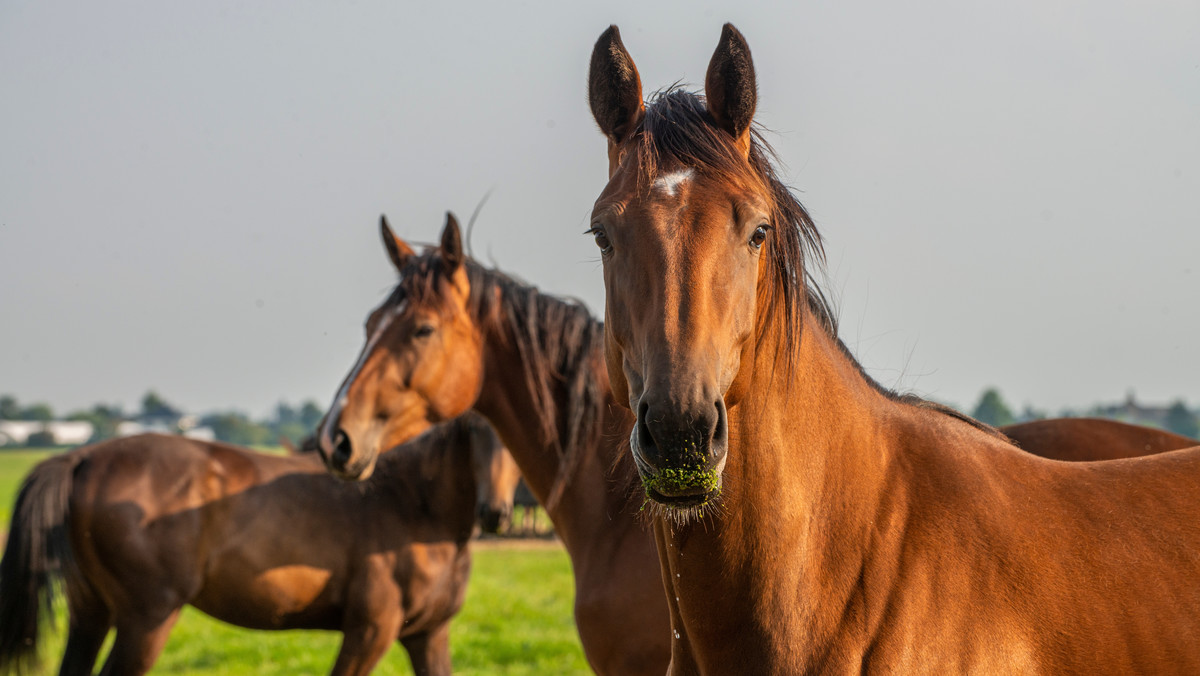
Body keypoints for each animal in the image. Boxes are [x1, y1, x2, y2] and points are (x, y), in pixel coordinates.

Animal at [0, 413, 516, 676]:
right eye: (475, 429)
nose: (496, 513)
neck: (412, 504)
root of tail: (83, 457)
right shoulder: (371, 631)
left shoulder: (428, 635)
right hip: (147, 619)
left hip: (92, 615)